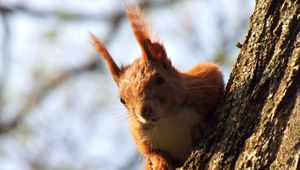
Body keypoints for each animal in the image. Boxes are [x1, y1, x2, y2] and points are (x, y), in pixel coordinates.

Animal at [90, 4, 224, 169]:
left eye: (160, 78)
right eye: (122, 100)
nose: (144, 111)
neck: (168, 118)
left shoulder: (205, 80)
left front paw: (200, 128)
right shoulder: (140, 136)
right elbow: (153, 153)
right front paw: (159, 162)